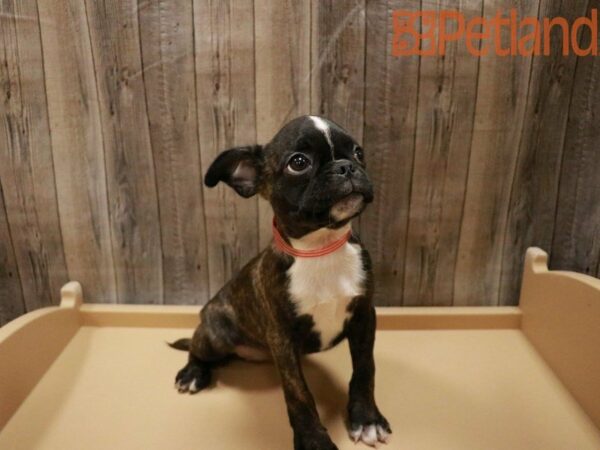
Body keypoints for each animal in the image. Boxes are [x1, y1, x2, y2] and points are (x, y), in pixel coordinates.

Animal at [171, 116, 392, 450]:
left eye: (358, 152)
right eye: (298, 163)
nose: (346, 167)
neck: (320, 248)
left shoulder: (364, 316)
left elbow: (365, 369)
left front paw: (367, 419)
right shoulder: (282, 339)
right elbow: (298, 393)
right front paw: (314, 441)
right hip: (215, 332)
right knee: (197, 348)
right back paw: (193, 373)